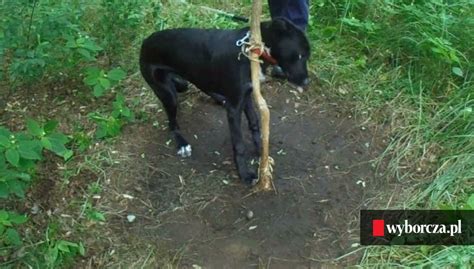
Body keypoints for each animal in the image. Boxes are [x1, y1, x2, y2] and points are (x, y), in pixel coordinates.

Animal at [139, 17, 310, 184]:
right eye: (300, 55)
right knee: (172, 124)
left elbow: (254, 122)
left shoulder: (246, 95)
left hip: (198, 76)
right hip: (168, 94)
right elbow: (239, 145)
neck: (251, 50)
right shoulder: (235, 108)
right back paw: (182, 144)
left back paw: (220, 99)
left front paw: (260, 151)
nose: (307, 82)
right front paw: (245, 174)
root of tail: (145, 42)